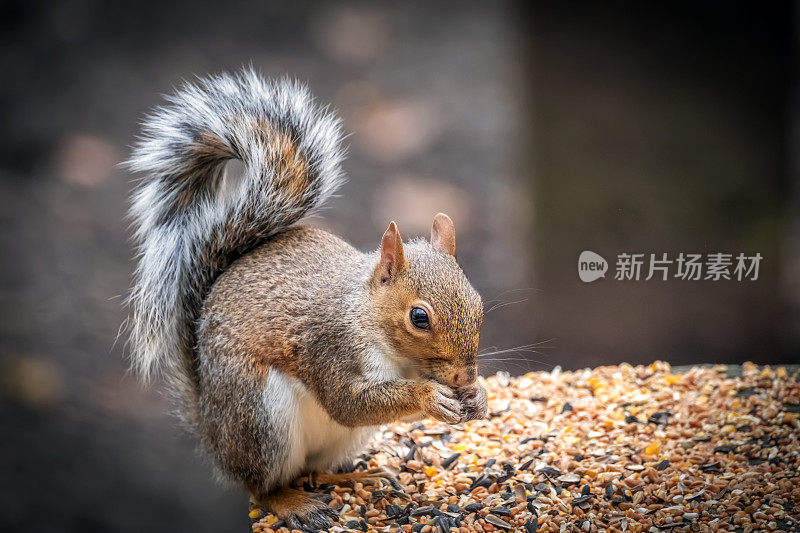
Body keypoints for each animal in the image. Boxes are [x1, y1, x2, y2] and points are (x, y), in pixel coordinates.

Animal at [126, 67, 488, 528]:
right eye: (419, 318)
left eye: (478, 304)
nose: (464, 378)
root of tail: (211, 429)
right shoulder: (328, 347)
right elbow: (347, 401)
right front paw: (430, 397)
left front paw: (478, 397)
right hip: (259, 417)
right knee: (263, 486)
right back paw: (292, 503)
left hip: (336, 440)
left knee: (313, 470)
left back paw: (355, 479)